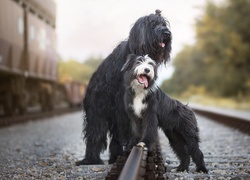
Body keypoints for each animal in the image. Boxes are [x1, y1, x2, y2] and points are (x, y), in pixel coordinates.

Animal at [77, 9, 208, 173]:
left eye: (164, 24)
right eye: (152, 24)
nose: (166, 33)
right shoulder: (122, 105)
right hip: (97, 110)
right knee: (95, 133)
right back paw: (91, 159)